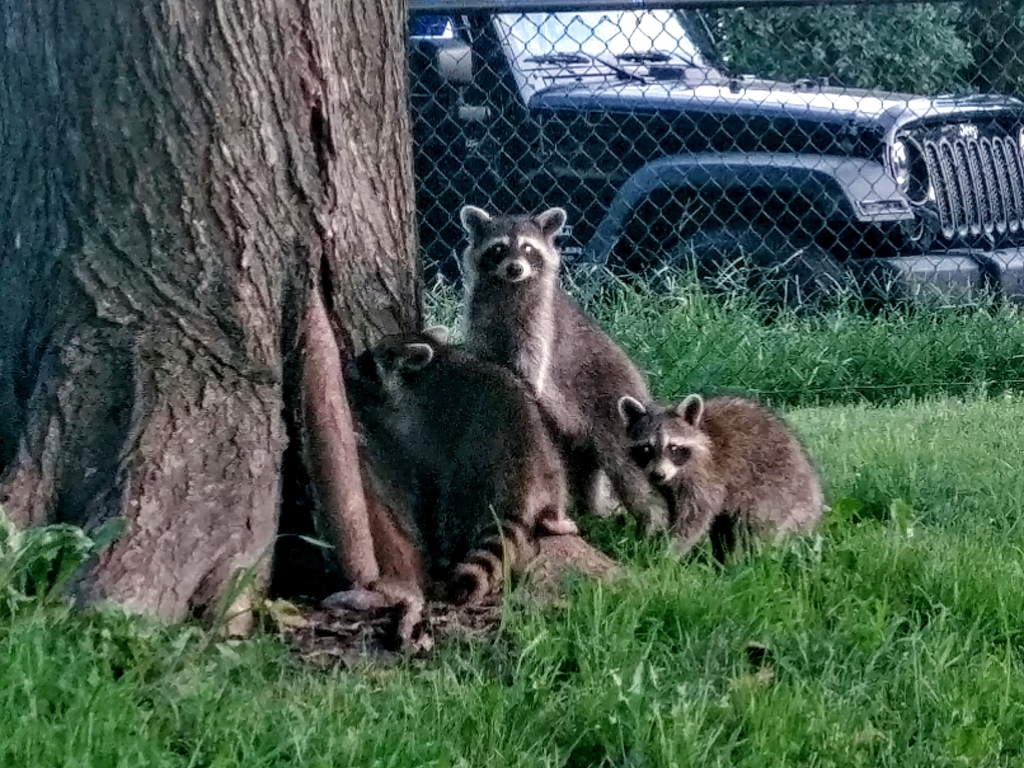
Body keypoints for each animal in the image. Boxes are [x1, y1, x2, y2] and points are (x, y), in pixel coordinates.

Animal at [343, 328, 578, 605]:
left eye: (369, 362)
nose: (348, 366)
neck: (434, 362)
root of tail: (521, 482)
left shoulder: (419, 418)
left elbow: (404, 438)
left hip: (470, 479)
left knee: (452, 508)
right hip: (547, 454)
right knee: (557, 482)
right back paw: (555, 517)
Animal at [460, 204, 668, 533]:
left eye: (528, 249)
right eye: (499, 248)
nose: (515, 268)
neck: (507, 287)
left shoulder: (540, 319)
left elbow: (532, 361)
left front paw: (521, 377)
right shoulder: (480, 310)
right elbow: (480, 345)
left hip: (614, 410)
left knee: (631, 475)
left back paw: (653, 524)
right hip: (576, 437)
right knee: (583, 472)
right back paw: (593, 509)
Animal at [617, 393, 825, 560]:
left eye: (673, 448)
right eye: (646, 449)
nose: (658, 475)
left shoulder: (706, 476)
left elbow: (695, 516)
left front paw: (669, 551)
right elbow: (675, 509)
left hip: (777, 488)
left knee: (756, 523)